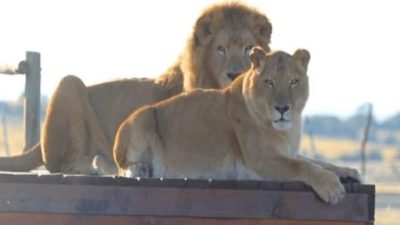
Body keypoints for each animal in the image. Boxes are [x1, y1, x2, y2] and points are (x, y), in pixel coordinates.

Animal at [0, 2, 272, 174]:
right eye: (220, 49)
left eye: (248, 48)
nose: (235, 73)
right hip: (70, 83)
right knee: (63, 163)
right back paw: (99, 165)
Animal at [114, 47, 360, 204]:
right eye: (269, 82)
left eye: (294, 82)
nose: (282, 108)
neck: (286, 130)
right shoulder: (259, 160)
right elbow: (302, 166)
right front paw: (332, 187)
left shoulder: (286, 152)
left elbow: (318, 162)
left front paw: (350, 172)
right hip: (143, 116)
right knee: (124, 167)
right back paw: (141, 169)